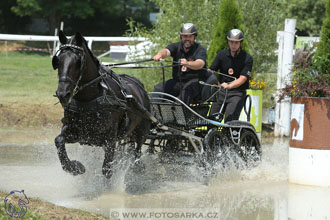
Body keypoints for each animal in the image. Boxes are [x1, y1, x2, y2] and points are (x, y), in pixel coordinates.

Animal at [51, 31, 151, 179]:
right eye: (58, 61)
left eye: (78, 62)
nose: (63, 94)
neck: (88, 100)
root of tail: (139, 86)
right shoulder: (77, 133)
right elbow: (59, 141)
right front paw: (75, 167)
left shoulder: (110, 141)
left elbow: (106, 170)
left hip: (141, 131)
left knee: (137, 153)